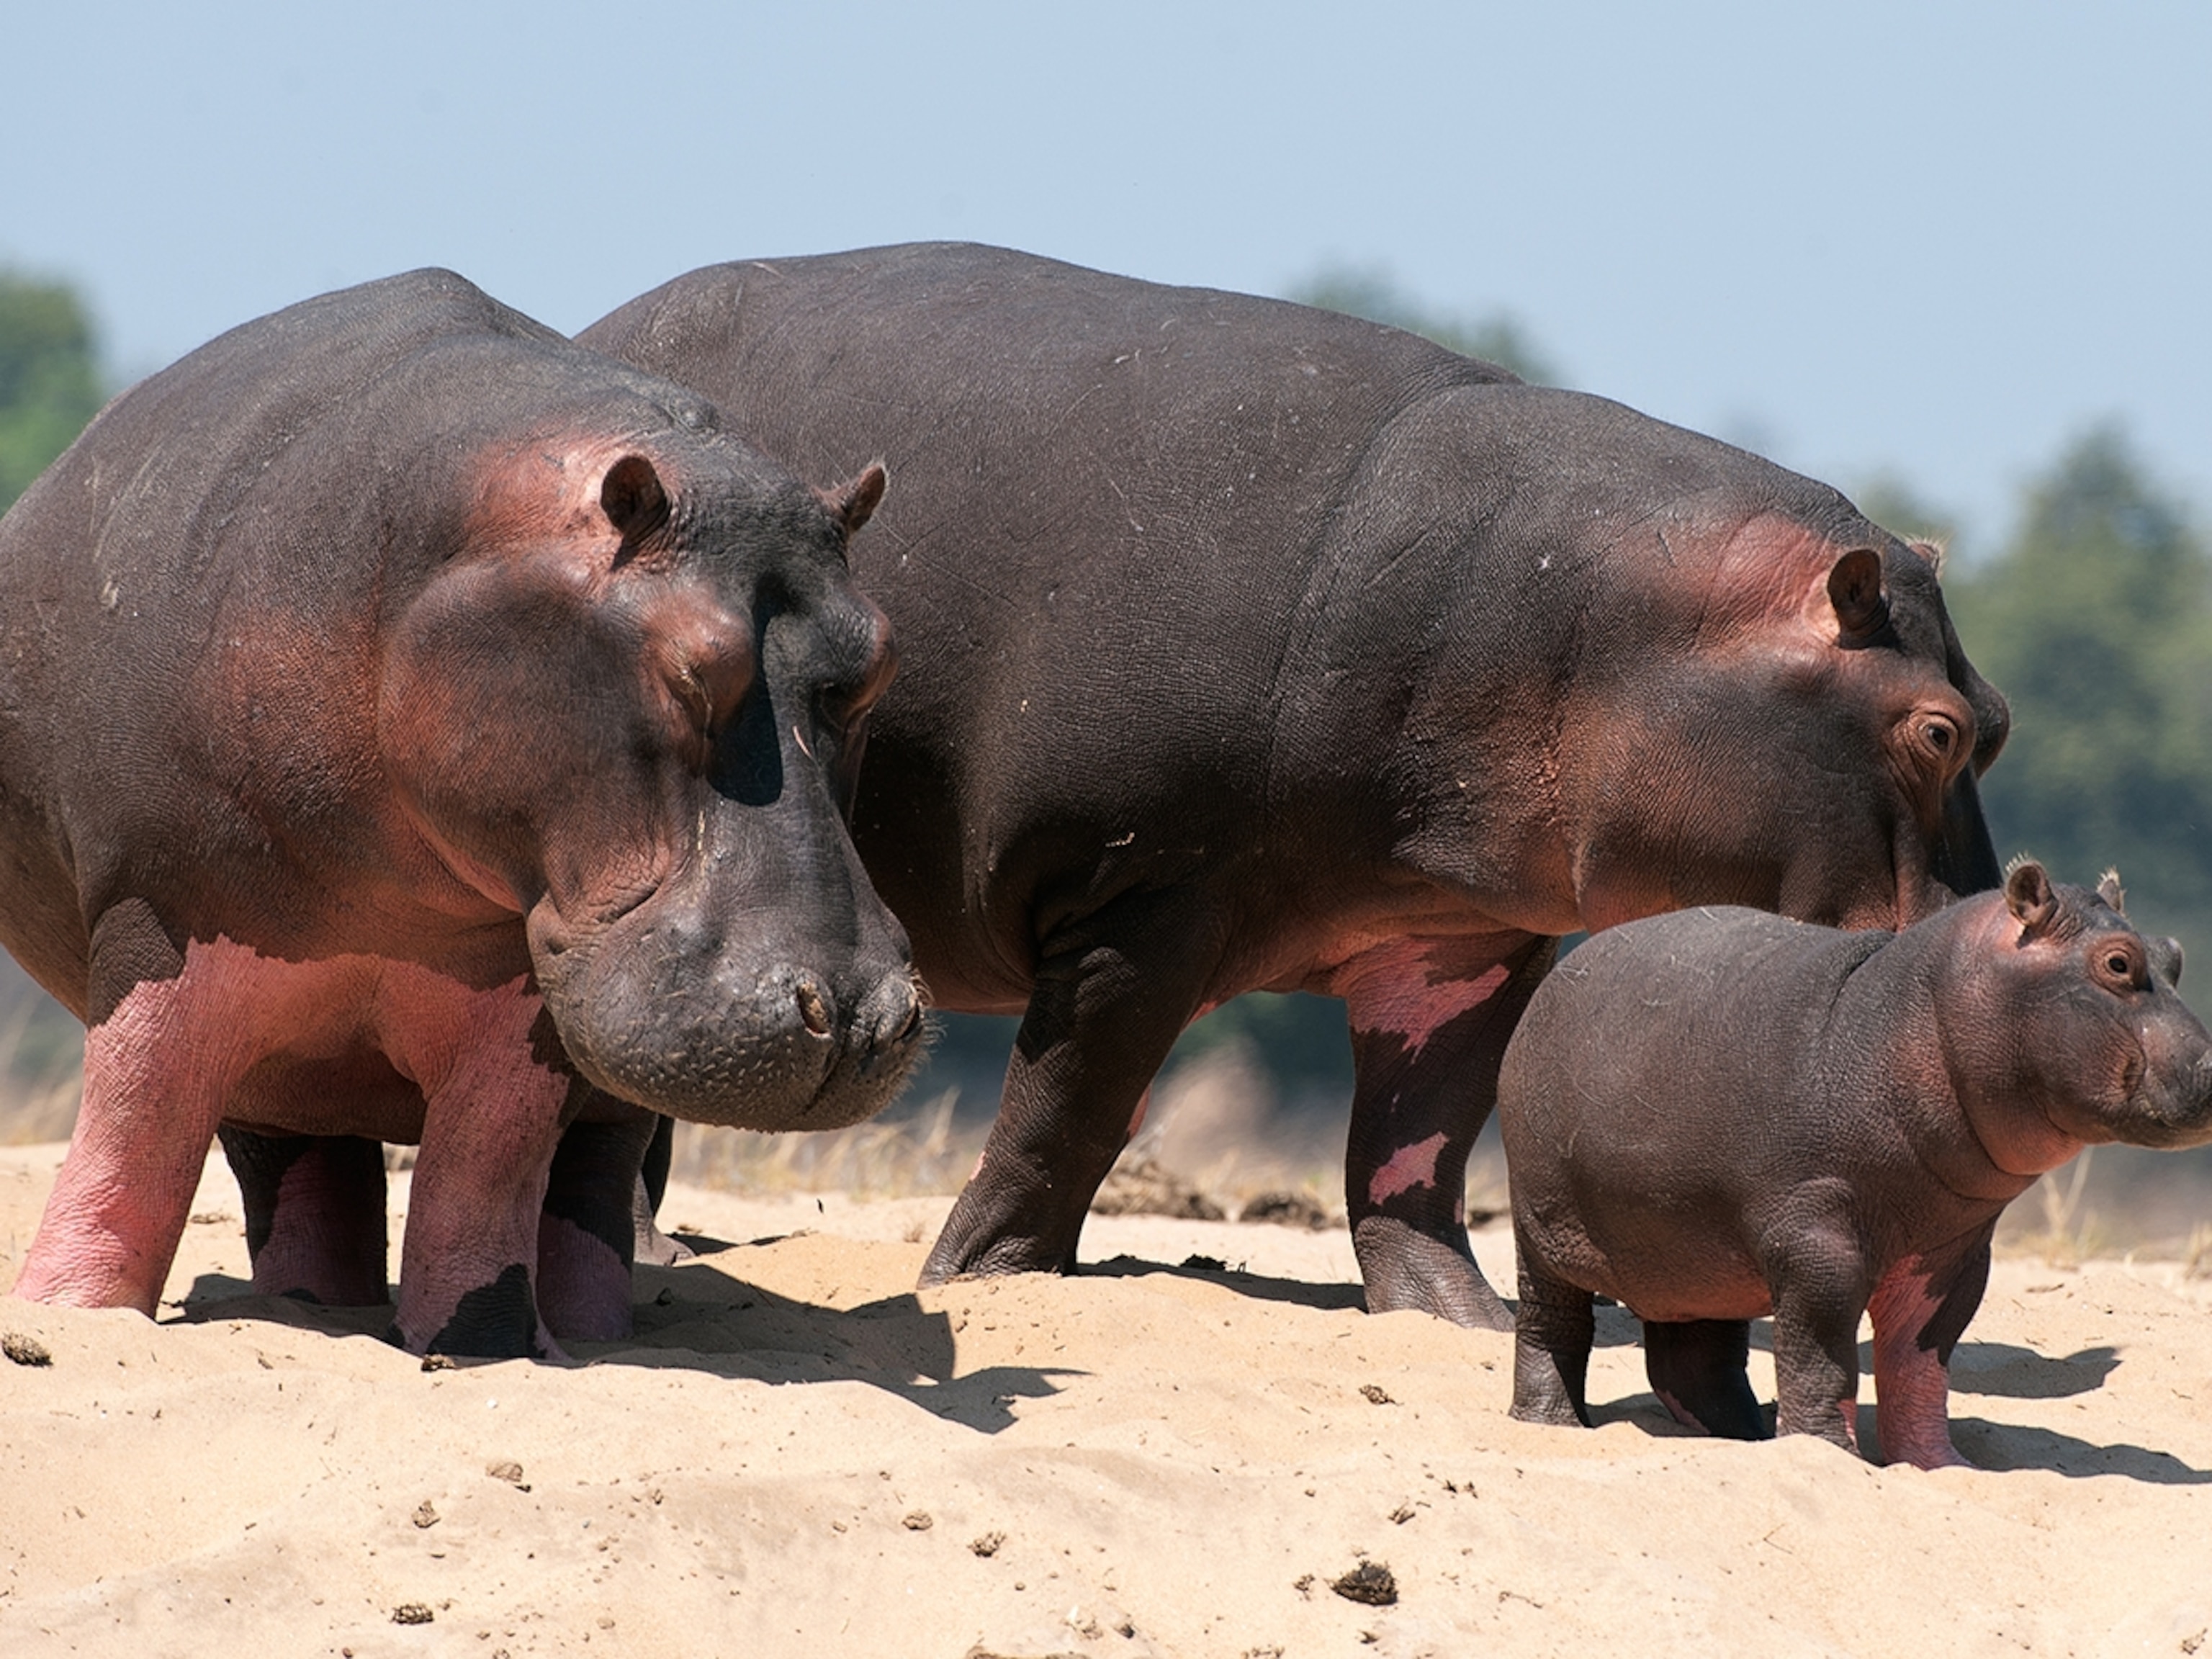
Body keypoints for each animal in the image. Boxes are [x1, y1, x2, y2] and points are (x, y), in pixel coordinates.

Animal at [0, 269, 921, 1357]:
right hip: (278, 1055)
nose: (859, 1015)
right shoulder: (165, 918)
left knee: (586, 1184)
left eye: (879, 658)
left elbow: (486, 1163)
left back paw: (584, 1335)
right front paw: (69, 1317)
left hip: (587, 1088)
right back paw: (310, 1306)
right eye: (689, 670)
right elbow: (134, 1125)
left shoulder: (526, 990)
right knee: (289, 1162)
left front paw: (479, 1343)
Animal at [567, 241, 2007, 1329]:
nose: (1995, 931)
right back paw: (655, 1254)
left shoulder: (1463, 941)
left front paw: (1454, 1318)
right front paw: (981, 1279)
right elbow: (1066, 1110)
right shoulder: (1142, 897)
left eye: (1994, 721)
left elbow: (1418, 1145)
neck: (1597, 623)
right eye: (1937, 731)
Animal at [1500, 862, 2212, 1467]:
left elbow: (1921, 1364)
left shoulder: (1951, 1256)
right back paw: (1551, 1424)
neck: (1914, 1017)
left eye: (2175, 953)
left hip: (1697, 1253)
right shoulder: (1817, 1244)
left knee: (1698, 1355)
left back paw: (1742, 1436)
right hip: (1543, 1229)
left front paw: (1938, 1466)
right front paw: (1826, 1453)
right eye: (2118, 962)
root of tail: (1564, 972)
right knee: (1551, 1326)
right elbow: (1822, 1357)